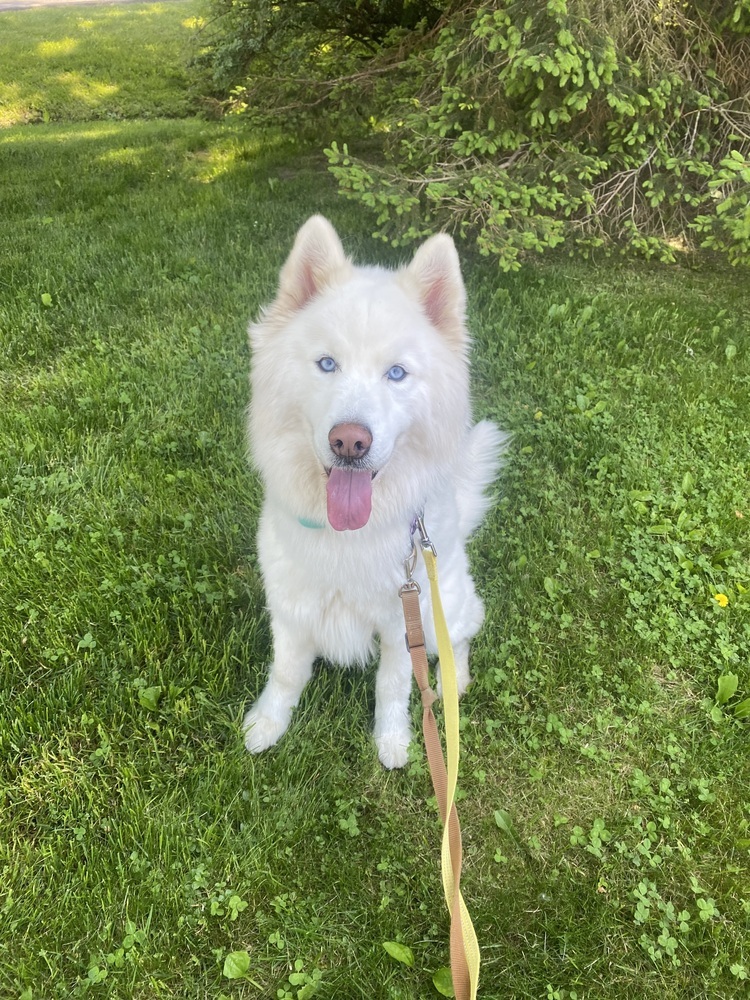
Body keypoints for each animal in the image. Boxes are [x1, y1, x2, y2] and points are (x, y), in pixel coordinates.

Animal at [244, 215, 508, 768]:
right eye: (327, 364)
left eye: (397, 373)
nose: (349, 441)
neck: (347, 536)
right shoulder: (291, 610)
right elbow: (285, 674)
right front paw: (267, 724)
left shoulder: (400, 626)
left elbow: (393, 687)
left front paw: (393, 741)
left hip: (444, 605)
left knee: (459, 641)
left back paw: (455, 681)